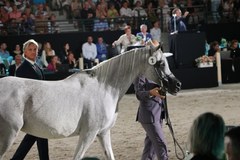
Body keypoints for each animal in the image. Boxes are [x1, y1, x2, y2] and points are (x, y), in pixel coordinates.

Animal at [0, 44, 180, 159]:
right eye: (160, 63)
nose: (177, 85)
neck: (104, 88)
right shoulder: (88, 134)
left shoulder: (103, 133)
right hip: (8, 135)